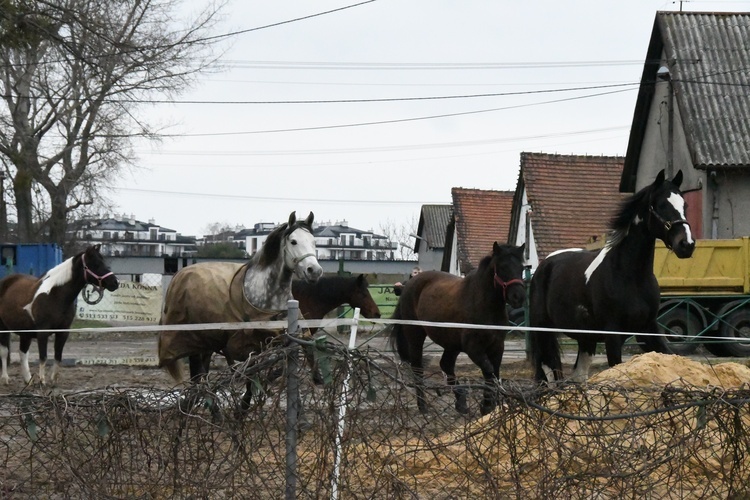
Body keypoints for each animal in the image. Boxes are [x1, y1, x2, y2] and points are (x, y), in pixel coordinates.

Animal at [0, 244, 118, 384]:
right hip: (3, 328)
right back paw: (5, 379)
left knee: (23, 353)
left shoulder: (63, 332)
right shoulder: (42, 332)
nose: (115, 283)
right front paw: (42, 381)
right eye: (95, 264)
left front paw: (53, 380)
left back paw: (28, 380)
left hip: (25, 332)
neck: (55, 296)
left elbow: (58, 356)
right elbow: (43, 357)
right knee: (4, 352)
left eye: (103, 261)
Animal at [159, 211, 324, 406]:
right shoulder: (248, 346)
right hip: (196, 342)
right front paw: (243, 406)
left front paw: (316, 377)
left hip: (208, 344)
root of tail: (180, 274)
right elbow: (251, 378)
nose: (314, 271)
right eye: (293, 241)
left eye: (314, 242)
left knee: (202, 377)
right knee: (197, 378)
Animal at [390, 242, 524, 414]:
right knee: (418, 368)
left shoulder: (497, 346)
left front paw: (489, 407)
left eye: (521, 267)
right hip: (416, 336)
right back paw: (423, 406)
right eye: (501, 267)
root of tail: (409, 285)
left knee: (445, 364)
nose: (518, 297)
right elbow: (489, 371)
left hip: (451, 344)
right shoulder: (473, 348)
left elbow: (494, 373)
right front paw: (486, 405)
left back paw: (461, 401)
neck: (484, 305)